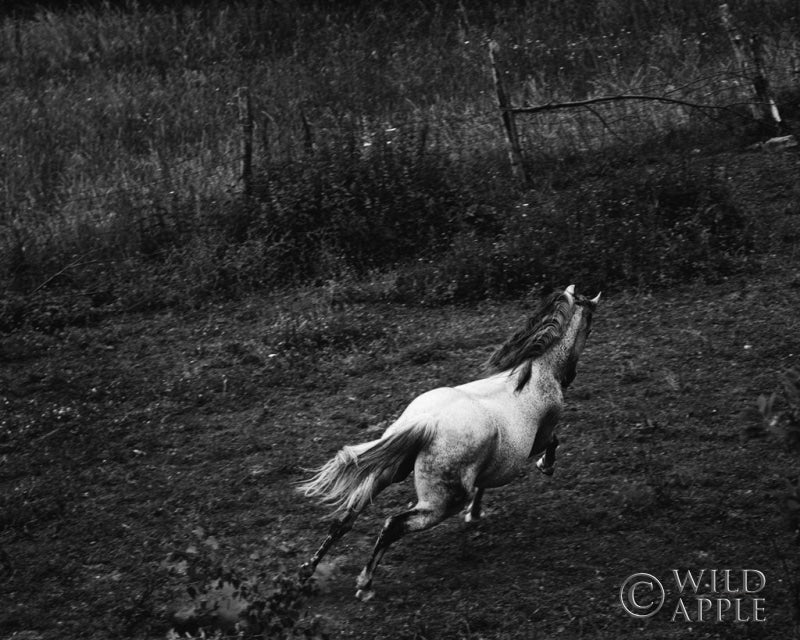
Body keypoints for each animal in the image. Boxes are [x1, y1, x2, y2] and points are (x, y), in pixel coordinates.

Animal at [297, 284, 600, 601]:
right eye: (589, 324)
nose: (571, 376)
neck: (535, 373)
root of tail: (427, 422)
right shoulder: (541, 435)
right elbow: (553, 442)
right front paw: (546, 466)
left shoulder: (491, 463)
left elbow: (483, 483)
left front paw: (475, 514)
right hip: (441, 503)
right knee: (392, 525)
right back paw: (364, 584)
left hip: (387, 473)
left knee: (345, 518)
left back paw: (307, 573)